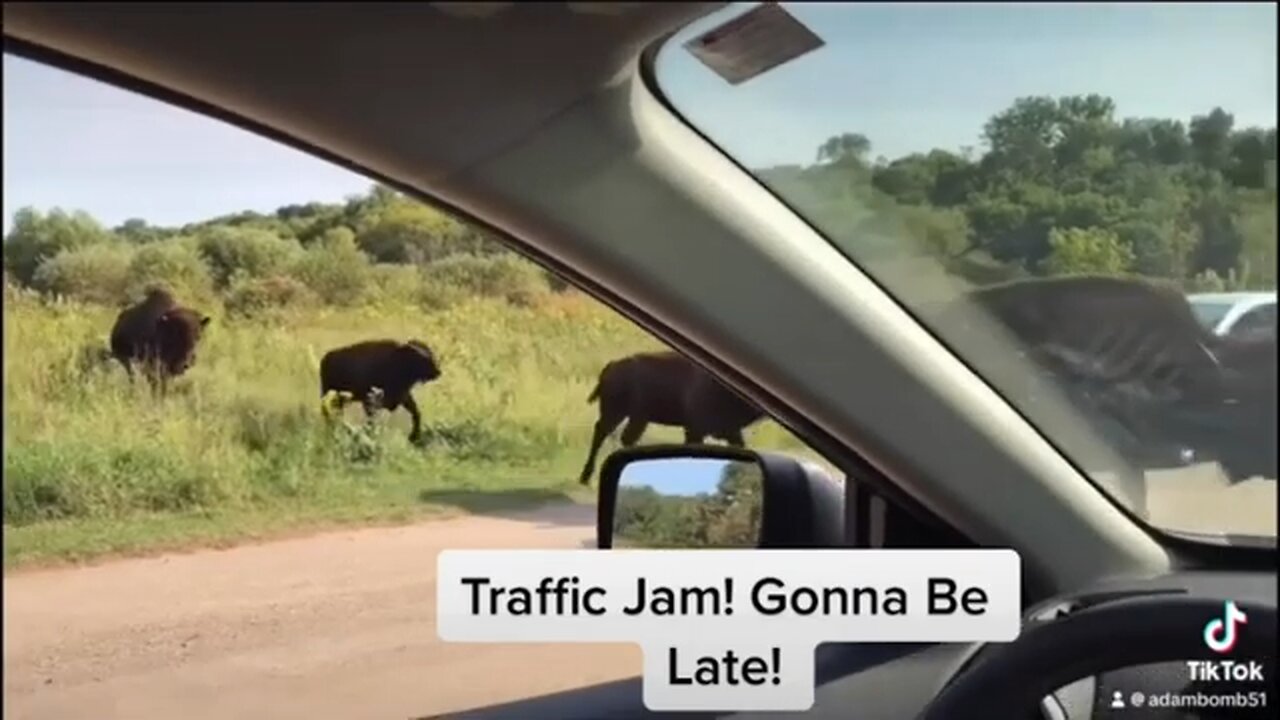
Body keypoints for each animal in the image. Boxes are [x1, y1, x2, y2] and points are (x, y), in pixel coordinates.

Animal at [578, 348, 762, 484]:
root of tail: (613, 364)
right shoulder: (695, 429)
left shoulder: (731, 431)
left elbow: (740, 444)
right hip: (615, 412)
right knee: (603, 432)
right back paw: (585, 477)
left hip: (637, 417)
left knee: (624, 437)